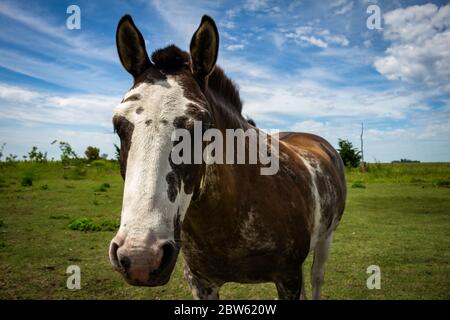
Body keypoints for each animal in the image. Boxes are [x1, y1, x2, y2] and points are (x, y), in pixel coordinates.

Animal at [110, 14, 348, 300]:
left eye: (203, 124)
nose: (141, 257)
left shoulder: (288, 277)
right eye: (118, 125)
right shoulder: (201, 283)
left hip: (326, 240)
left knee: (316, 279)